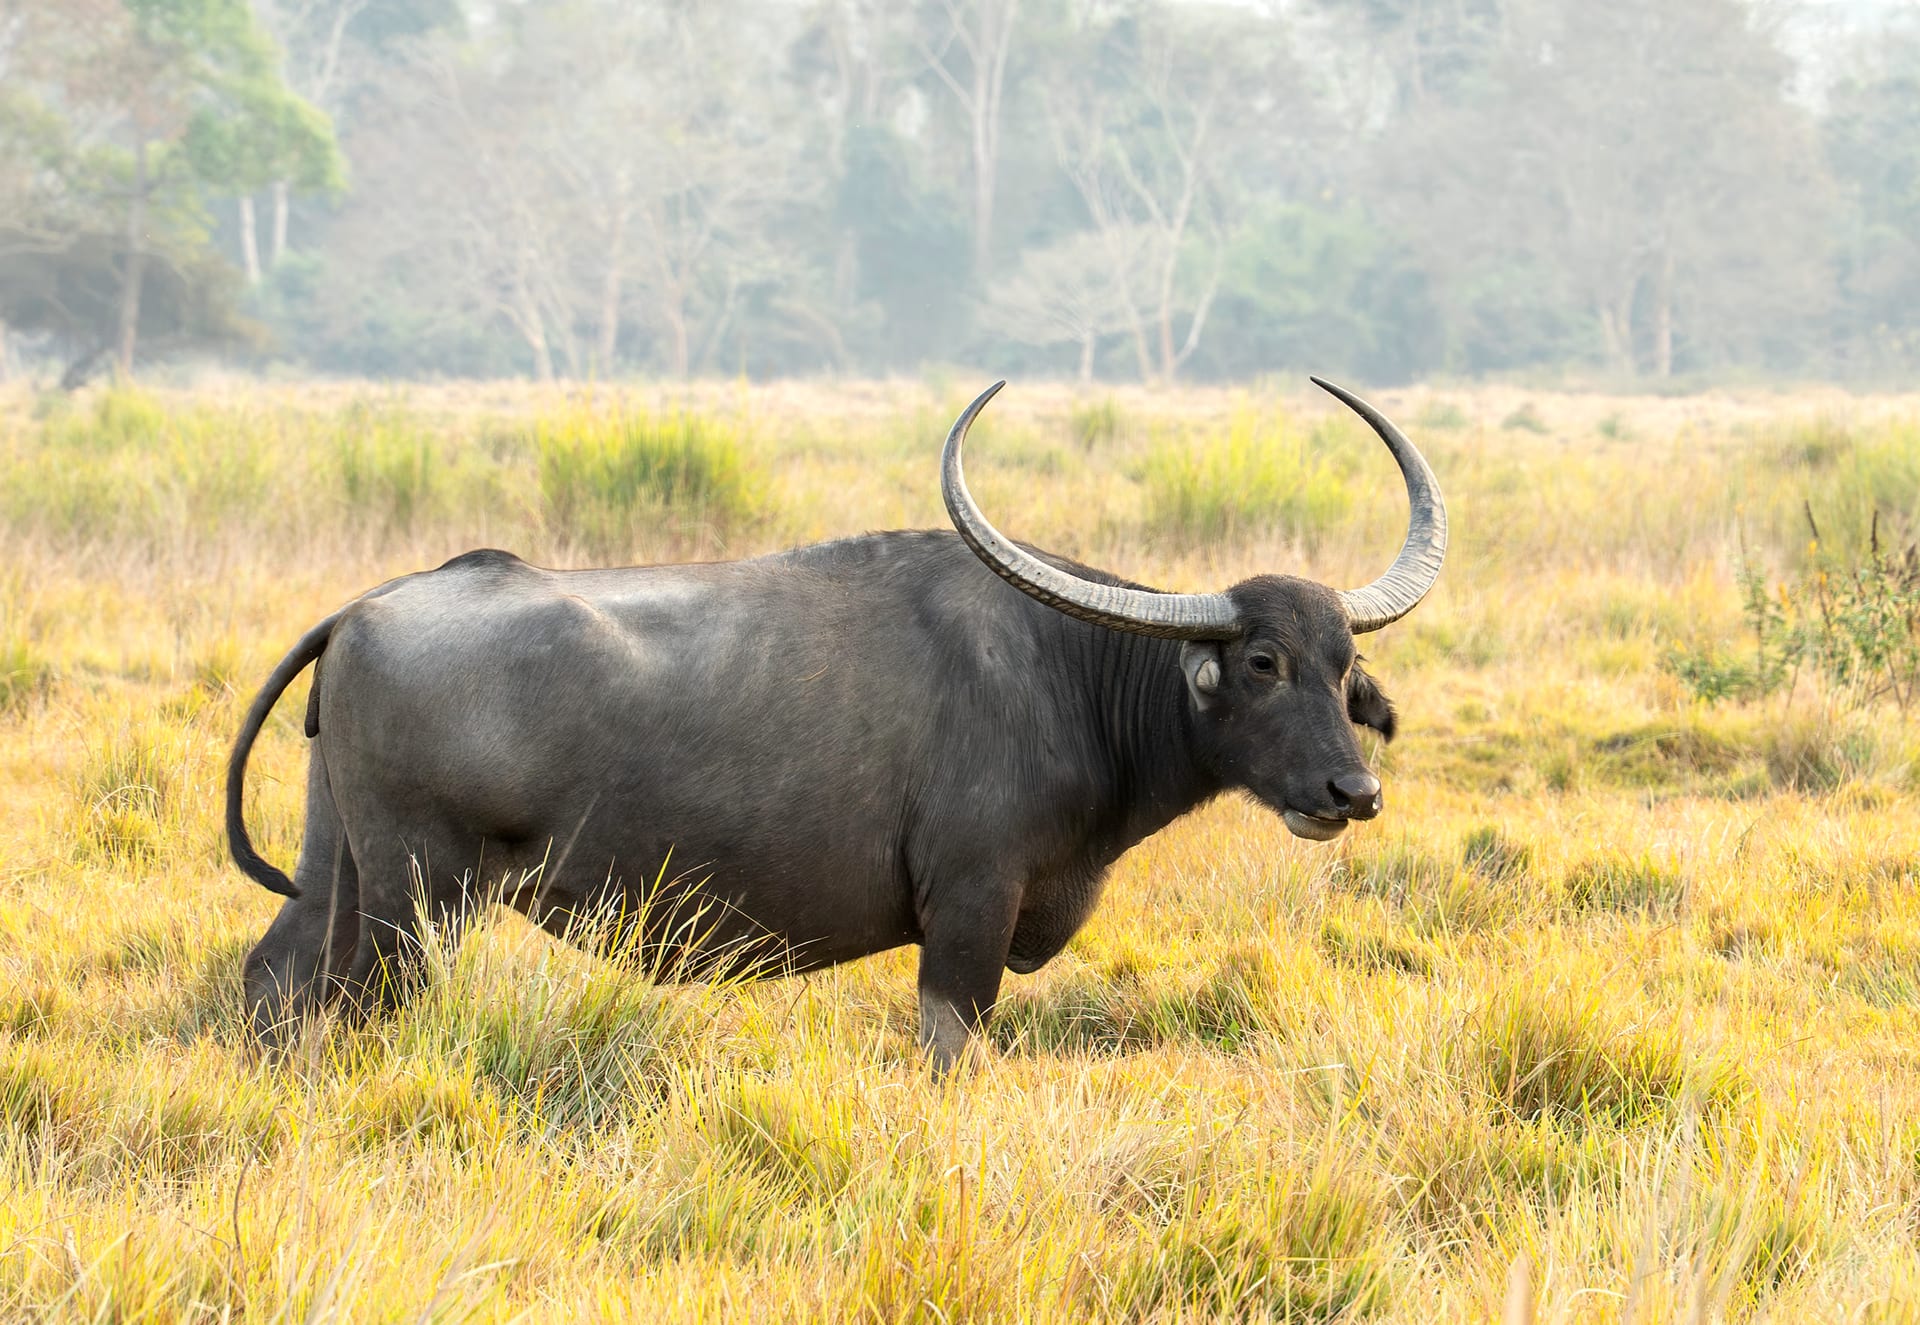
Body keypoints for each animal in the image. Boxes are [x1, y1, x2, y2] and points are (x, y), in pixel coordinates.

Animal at [227, 378, 1446, 1069]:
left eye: (1345, 666)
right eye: (1261, 661)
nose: (1354, 793)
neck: (1067, 672)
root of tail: (364, 607)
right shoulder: (969, 910)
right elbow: (951, 1047)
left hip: (337, 873)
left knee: (277, 983)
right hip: (415, 903)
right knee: (360, 1006)